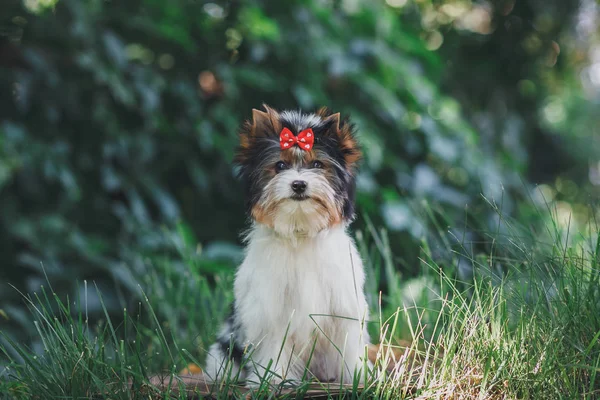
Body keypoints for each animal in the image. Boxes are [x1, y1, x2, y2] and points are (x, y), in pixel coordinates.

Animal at [203, 104, 370, 386]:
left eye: (317, 164)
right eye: (279, 165)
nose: (299, 184)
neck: (300, 231)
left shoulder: (342, 304)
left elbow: (346, 342)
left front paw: (356, 376)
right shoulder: (272, 308)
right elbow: (275, 341)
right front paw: (272, 379)